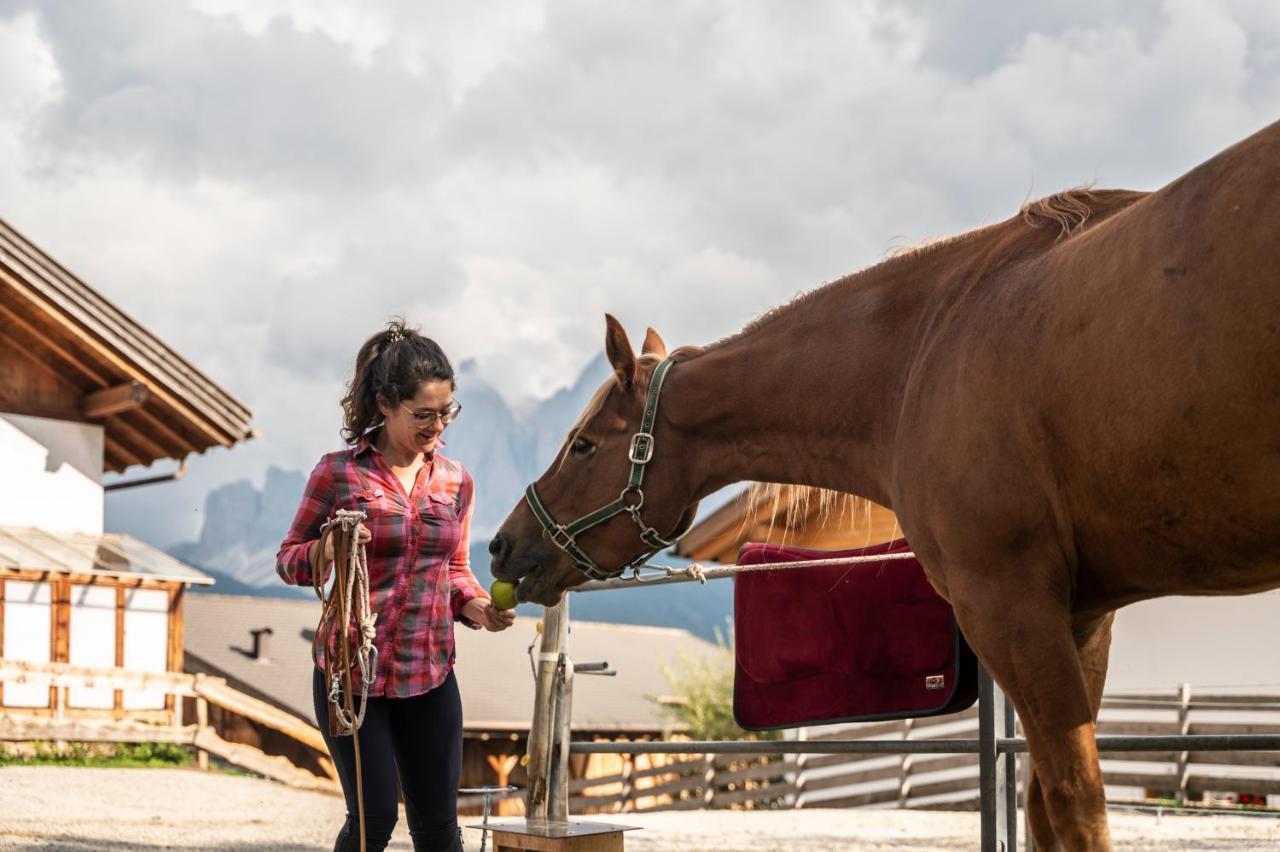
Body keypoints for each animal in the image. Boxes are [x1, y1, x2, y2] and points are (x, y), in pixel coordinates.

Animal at [486, 117, 1280, 844]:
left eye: (583, 445)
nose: (501, 546)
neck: (924, 351)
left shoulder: (1011, 606)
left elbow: (1076, 807)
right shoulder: (1084, 618)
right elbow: (1046, 812)